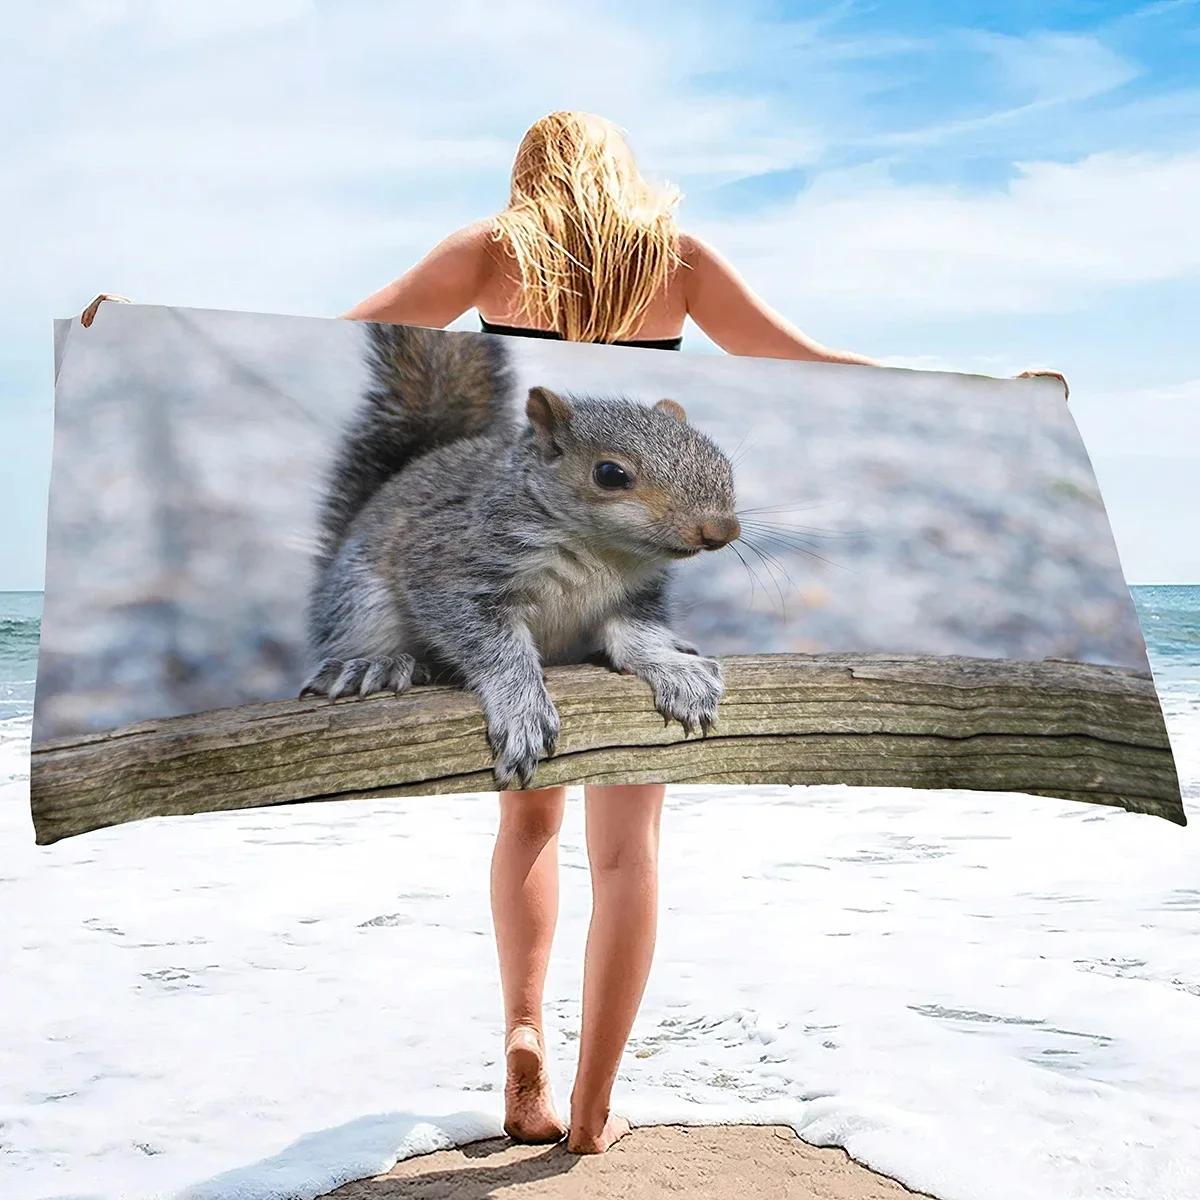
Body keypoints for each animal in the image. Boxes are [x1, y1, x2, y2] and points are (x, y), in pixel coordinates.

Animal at [300, 321, 741, 789]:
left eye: (719, 460)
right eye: (610, 474)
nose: (721, 530)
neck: (604, 551)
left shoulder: (637, 594)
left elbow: (638, 635)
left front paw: (675, 670)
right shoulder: (451, 566)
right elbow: (492, 646)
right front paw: (521, 708)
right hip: (361, 602)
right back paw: (372, 666)